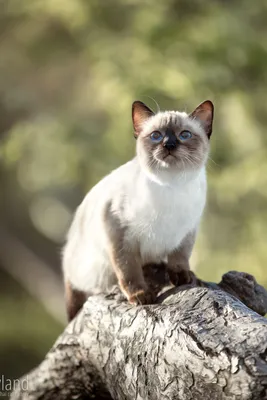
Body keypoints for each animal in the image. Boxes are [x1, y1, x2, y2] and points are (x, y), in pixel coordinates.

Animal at [62, 98, 214, 320]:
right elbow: (129, 271)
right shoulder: (121, 236)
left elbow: (180, 258)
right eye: (156, 135)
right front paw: (141, 296)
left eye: (184, 135)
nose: (169, 144)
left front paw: (183, 278)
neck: (172, 186)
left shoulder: (187, 233)